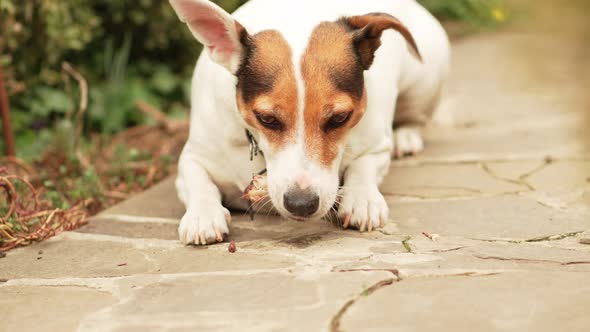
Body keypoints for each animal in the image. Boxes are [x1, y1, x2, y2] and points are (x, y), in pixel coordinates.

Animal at [169, 0, 450, 244]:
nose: (301, 205)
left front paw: (362, 197)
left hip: (424, 82)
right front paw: (203, 214)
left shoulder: (377, 147)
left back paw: (407, 136)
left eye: (339, 118)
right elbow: (197, 179)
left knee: (414, 115)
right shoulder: (194, 157)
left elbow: (364, 166)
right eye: (266, 118)